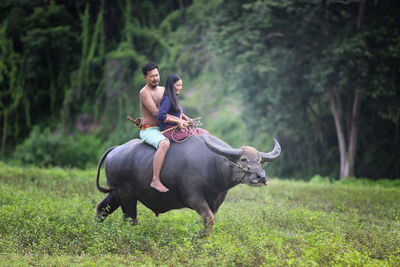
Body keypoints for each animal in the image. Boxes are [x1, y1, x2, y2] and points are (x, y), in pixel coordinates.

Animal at [95, 135, 280, 236]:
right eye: (243, 159)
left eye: (260, 161)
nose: (261, 177)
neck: (214, 166)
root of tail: (116, 149)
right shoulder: (193, 197)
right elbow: (208, 218)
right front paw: (203, 237)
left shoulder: (216, 202)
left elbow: (211, 219)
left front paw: (204, 236)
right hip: (126, 196)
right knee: (130, 219)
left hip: (115, 193)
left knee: (102, 207)